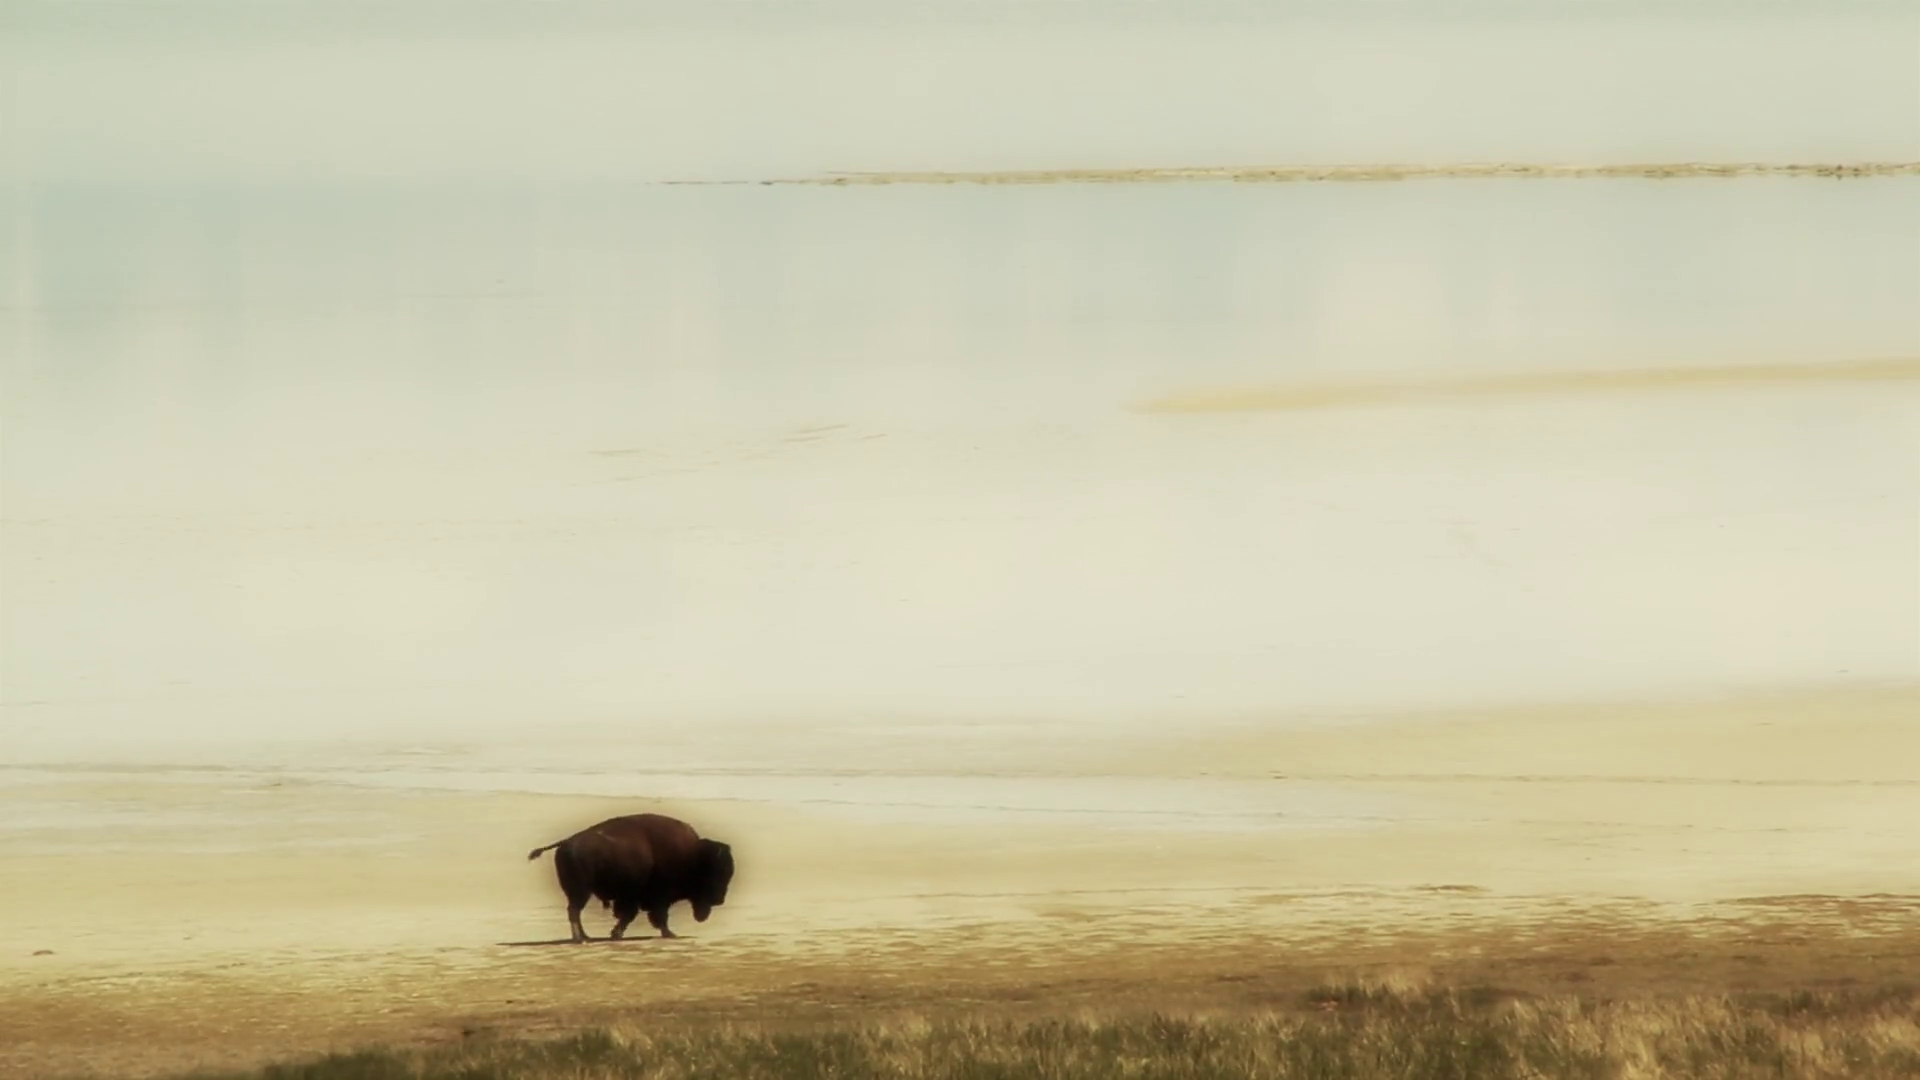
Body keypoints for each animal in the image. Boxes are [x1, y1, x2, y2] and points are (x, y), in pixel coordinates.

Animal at [526, 812, 736, 943]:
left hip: (580, 892)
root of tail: (565, 843)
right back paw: (580, 938)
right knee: (574, 911)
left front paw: (615, 934)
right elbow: (653, 916)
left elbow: (631, 915)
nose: (719, 899)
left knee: (574, 911)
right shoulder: (657, 897)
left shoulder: (636, 897)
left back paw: (586, 937)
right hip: (581, 891)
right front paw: (669, 934)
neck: (693, 856)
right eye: (717, 872)